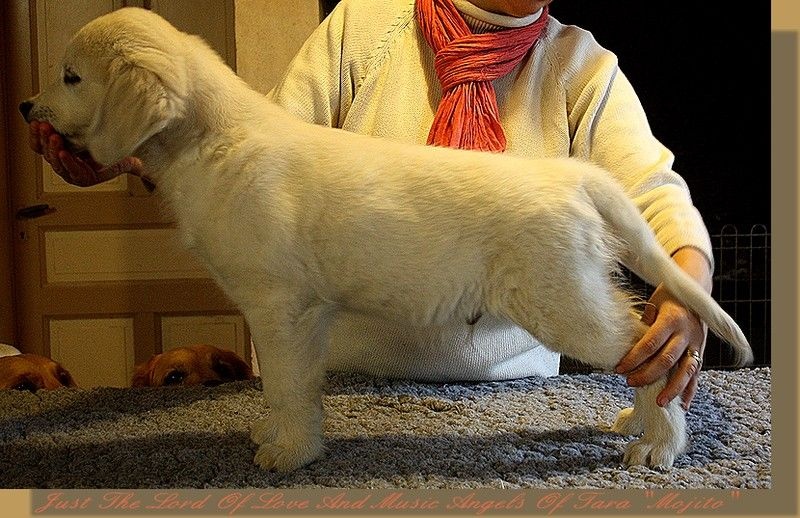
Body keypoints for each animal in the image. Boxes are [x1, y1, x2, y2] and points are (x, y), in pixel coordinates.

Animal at [19, 7, 752, 471]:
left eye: (72, 76)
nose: (26, 107)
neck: (211, 141)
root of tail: (572, 175)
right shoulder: (302, 314)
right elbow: (291, 387)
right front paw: (286, 437)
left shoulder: (280, 307)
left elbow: (285, 385)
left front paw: (286, 454)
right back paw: (640, 425)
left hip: (561, 301)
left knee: (652, 353)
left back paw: (659, 444)